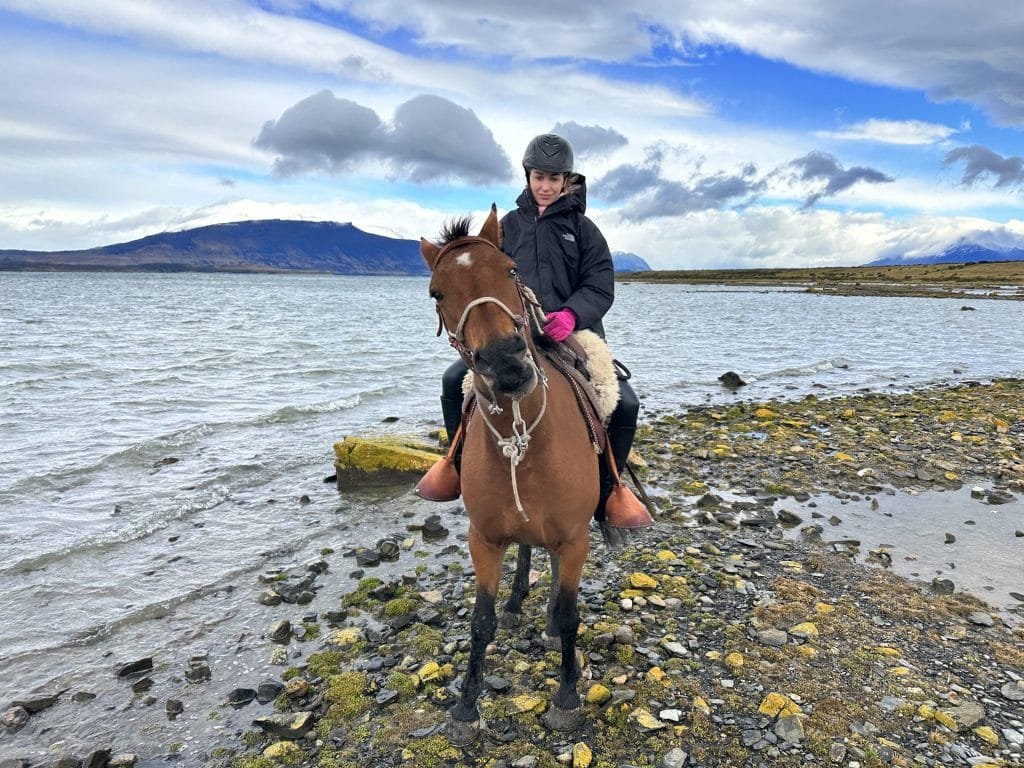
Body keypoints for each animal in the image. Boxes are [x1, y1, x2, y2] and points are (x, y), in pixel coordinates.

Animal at [419, 205, 598, 745]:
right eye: (437, 293)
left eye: (511, 270)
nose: (506, 364)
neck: (526, 440)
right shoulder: (484, 538)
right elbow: (481, 621)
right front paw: (465, 706)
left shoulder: (575, 537)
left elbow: (569, 614)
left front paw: (566, 697)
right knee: (526, 550)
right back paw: (519, 602)